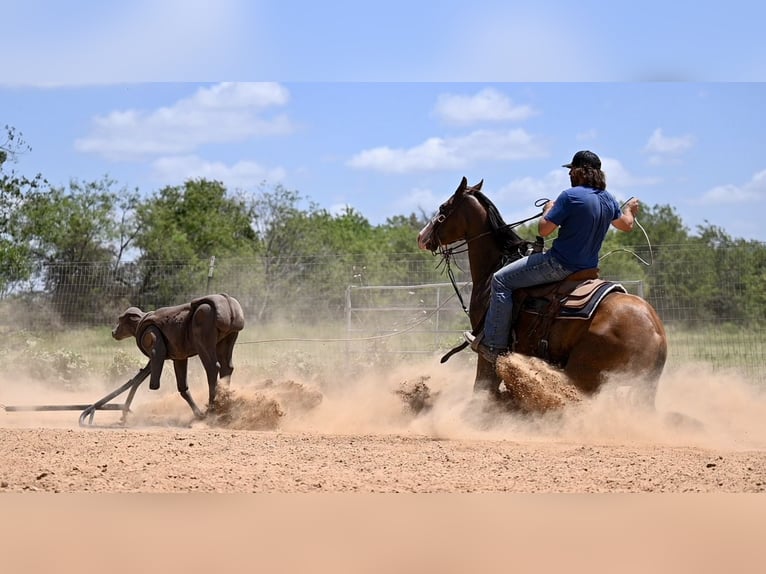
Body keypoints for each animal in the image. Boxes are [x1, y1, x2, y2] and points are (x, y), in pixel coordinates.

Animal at [416, 178, 668, 408]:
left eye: (443, 208)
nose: (421, 237)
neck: (494, 267)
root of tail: (656, 332)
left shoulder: (486, 348)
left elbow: (483, 388)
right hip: (642, 388)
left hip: (584, 373)